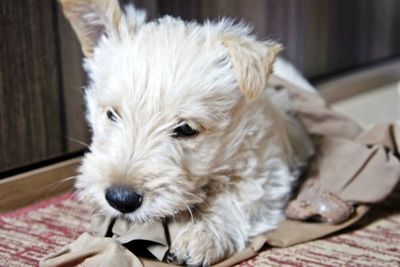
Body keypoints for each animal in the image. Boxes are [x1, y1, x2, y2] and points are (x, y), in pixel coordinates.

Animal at [61, 0, 314, 266]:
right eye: (111, 114)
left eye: (186, 129)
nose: (121, 199)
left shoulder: (267, 175)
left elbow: (237, 199)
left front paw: (201, 237)